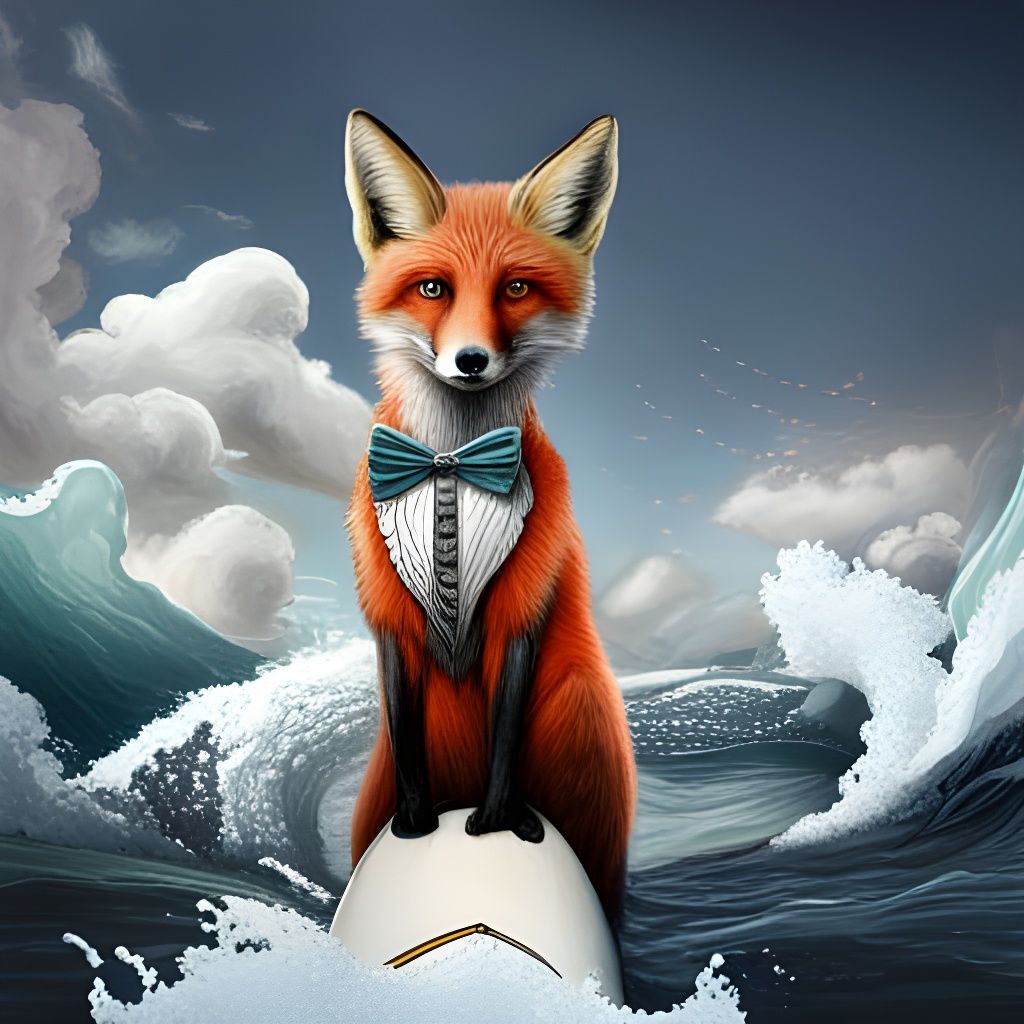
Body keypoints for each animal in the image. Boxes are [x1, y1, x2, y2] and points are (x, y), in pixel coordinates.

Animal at [343, 109, 636, 920]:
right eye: (433, 288)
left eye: (516, 288)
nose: (470, 360)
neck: (450, 462)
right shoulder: (388, 614)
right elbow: (404, 725)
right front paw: (416, 824)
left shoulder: (521, 608)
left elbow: (506, 729)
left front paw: (497, 821)